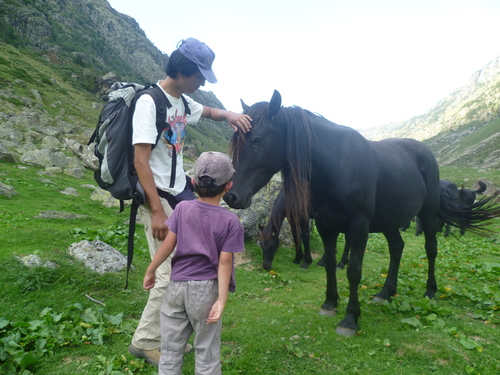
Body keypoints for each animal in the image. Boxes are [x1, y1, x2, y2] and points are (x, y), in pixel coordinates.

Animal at [227, 90, 500, 338]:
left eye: (258, 139)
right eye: (236, 140)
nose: (231, 196)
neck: (337, 165)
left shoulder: (359, 226)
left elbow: (353, 271)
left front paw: (350, 318)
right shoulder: (325, 225)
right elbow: (329, 263)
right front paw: (329, 303)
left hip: (428, 215)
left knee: (431, 249)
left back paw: (430, 291)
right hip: (390, 221)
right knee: (397, 248)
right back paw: (385, 292)